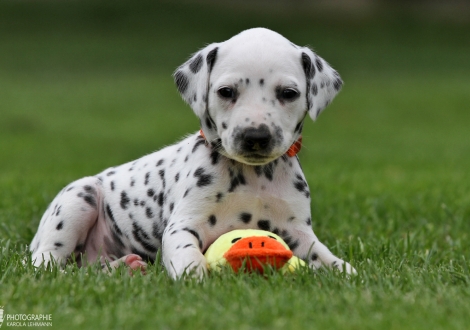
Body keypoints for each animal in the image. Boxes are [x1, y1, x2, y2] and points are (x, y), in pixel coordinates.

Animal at [31, 27, 354, 278]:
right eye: (226, 92)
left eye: (288, 93)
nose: (255, 136)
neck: (251, 177)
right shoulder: (183, 226)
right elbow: (186, 252)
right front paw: (194, 274)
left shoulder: (296, 231)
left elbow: (322, 255)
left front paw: (344, 271)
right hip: (76, 201)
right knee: (47, 265)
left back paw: (123, 267)